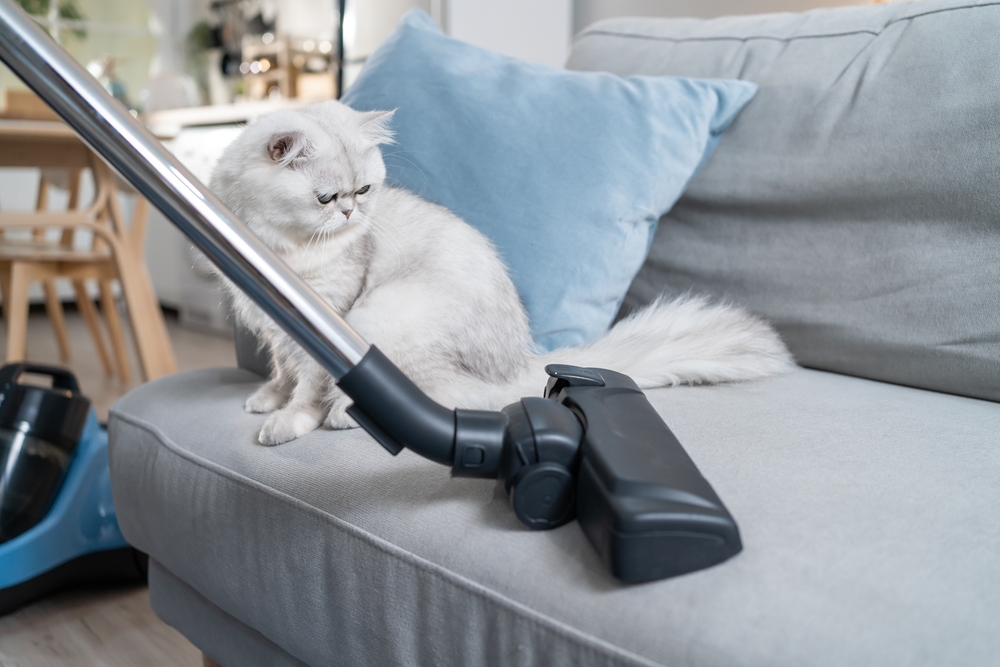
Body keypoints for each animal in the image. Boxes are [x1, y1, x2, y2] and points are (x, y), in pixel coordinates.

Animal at [213, 99, 796, 446]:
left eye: (363, 190)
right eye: (326, 198)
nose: (351, 214)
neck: (281, 250)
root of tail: (523, 359)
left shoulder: (323, 318)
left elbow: (307, 388)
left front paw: (288, 419)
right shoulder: (271, 325)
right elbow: (280, 373)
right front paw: (267, 399)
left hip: (383, 317)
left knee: (454, 401)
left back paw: (344, 415)